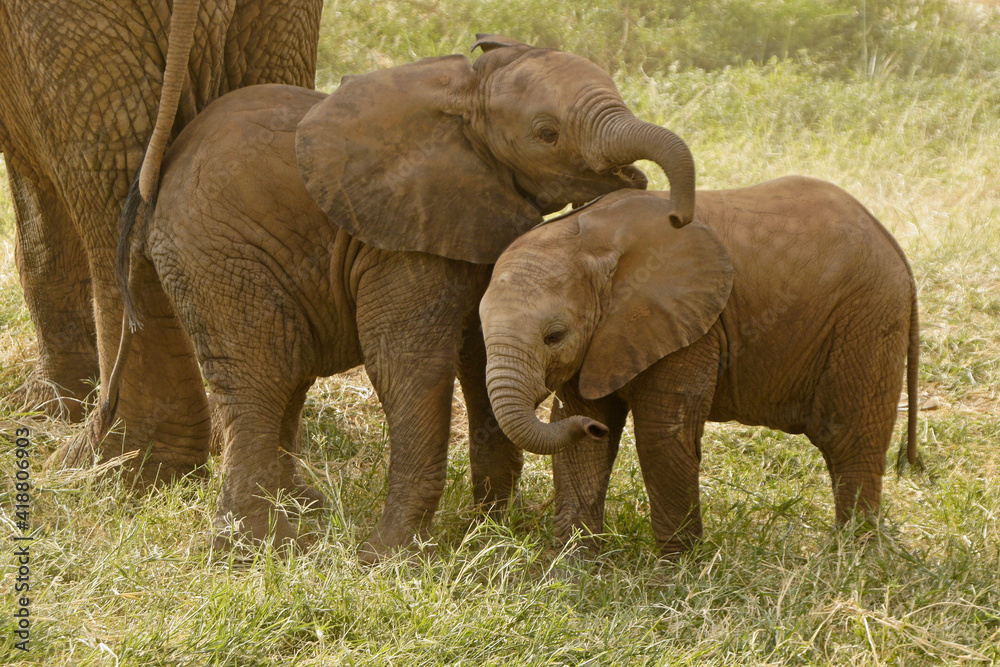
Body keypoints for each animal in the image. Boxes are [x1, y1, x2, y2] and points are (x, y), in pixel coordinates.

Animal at [101, 35, 698, 560]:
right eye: (546, 133)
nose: (676, 215)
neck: (465, 93)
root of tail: (154, 183)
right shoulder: (402, 234)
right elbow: (408, 362)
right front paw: (390, 558)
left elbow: (480, 351)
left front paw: (490, 527)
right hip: (219, 256)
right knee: (260, 376)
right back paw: (260, 549)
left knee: (286, 377)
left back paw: (304, 514)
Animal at [478, 176, 920, 558]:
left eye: (554, 336)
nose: (594, 427)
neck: (591, 241)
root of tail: (891, 241)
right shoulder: (598, 341)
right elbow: (580, 443)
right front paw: (573, 569)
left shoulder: (691, 327)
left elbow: (662, 437)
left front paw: (672, 578)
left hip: (867, 318)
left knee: (849, 440)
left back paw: (851, 558)